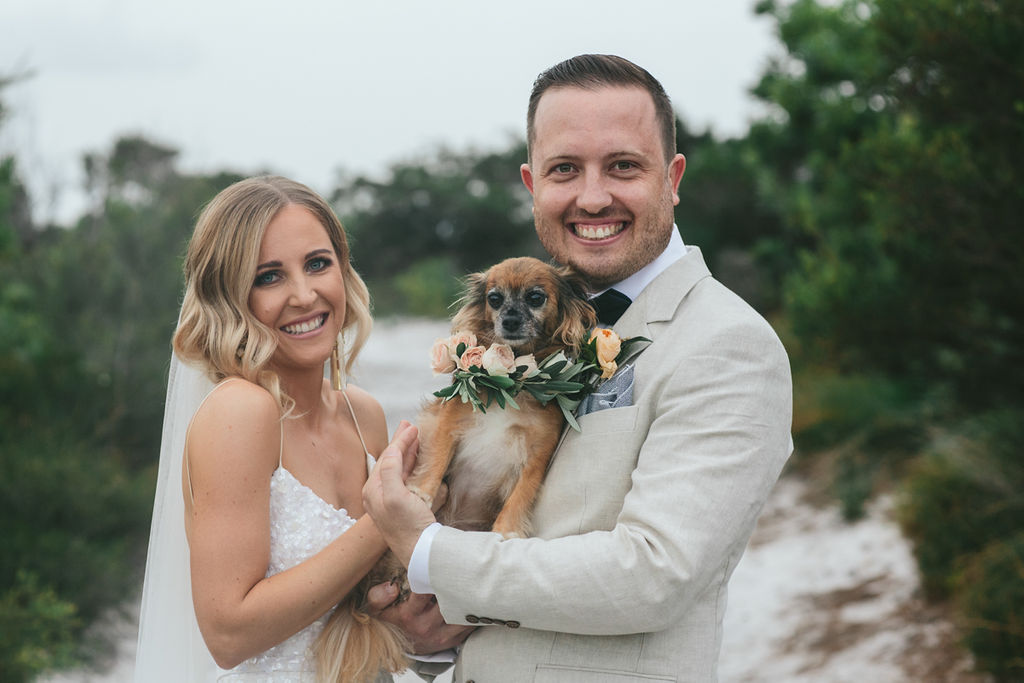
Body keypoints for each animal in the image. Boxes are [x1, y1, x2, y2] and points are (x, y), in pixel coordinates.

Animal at [315, 258, 598, 683]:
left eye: (536, 297)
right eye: (494, 299)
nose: (509, 319)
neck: (511, 381)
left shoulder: (538, 452)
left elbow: (521, 494)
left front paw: (507, 531)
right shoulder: (449, 422)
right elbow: (436, 460)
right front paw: (419, 494)